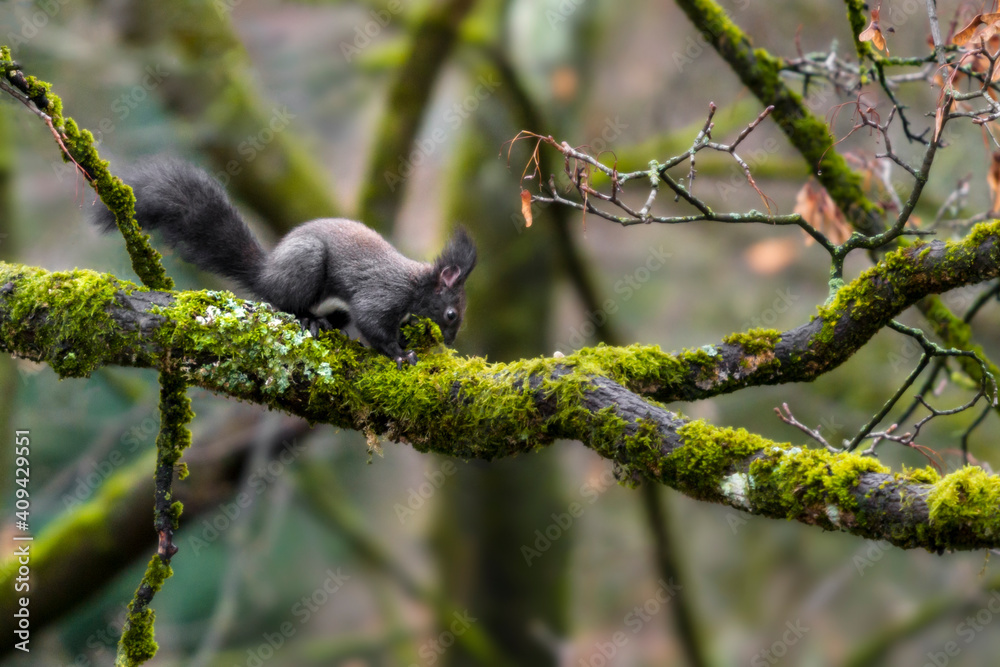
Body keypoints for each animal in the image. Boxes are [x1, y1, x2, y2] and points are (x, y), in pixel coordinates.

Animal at [92, 158, 477, 368]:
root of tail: (266, 273)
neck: (415, 284)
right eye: (451, 314)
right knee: (284, 303)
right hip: (305, 264)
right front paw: (399, 354)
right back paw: (308, 319)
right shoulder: (383, 295)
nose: (452, 342)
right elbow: (373, 324)